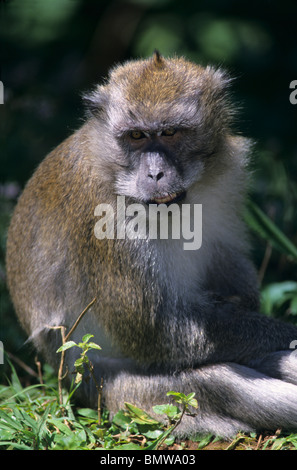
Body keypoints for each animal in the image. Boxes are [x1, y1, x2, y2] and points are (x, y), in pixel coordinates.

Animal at [5, 52, 297, 436]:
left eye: (170, 133)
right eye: (137, 136)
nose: (155, 173)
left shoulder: (229, 175)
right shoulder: (104, 221)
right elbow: (158, 334)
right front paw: (288, 332)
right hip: (111, 388)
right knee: (219, 384)